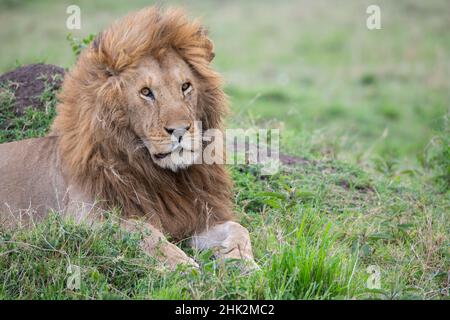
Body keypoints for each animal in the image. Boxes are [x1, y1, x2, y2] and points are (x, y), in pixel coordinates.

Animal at [0, 6, 255, 268]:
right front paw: (185, 267)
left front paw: (243, 264)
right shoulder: (84, 220)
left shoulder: (197, 216)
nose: (181, 130)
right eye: (146, 92)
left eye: (185, 86)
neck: (162, 177)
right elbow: (146, 233)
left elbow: (239, 229)